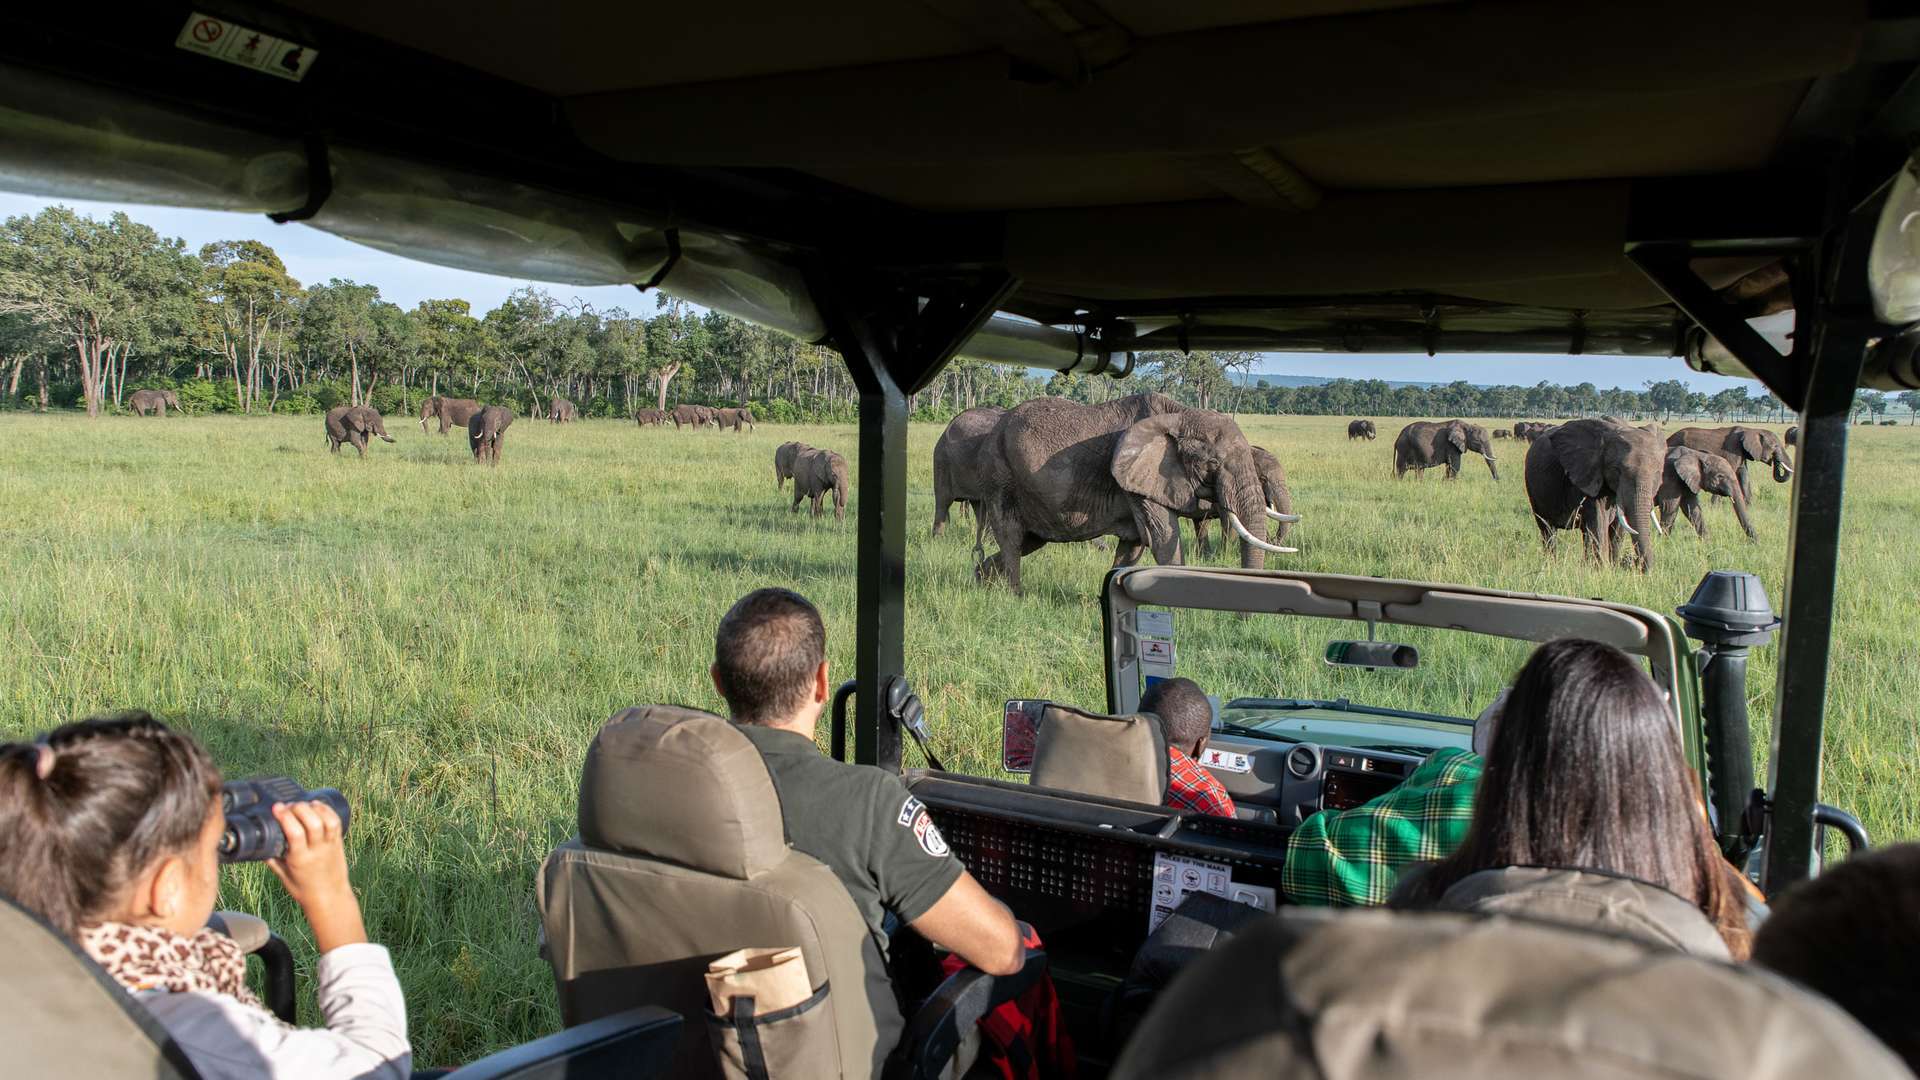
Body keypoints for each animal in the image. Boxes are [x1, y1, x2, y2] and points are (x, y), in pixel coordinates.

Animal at [975, 390, 1290, 591]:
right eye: (1213, 463)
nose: (1244, 617)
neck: (1181, 415)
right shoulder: (1137, 480)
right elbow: (1163, 538)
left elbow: (1135, 545)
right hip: (1000, 475)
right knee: (1012, 537)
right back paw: (1014, 594)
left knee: (1029, 540)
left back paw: (980, 579)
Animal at [1520, 413, 1658, 572]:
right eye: (1617, 470)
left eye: (1657, 473)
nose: (1637, 565)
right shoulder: (1587, 474)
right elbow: (1599, 522)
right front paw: (1601, 571)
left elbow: (1617, 529)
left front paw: (1612, 568)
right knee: (1548, 530)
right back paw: (1551, 566)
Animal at [1666, 424, 1797, 499]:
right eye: (1775, 446)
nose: (1776, 462)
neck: (1751, 430)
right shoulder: (1732, 451)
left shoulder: (1741, 453)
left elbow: (1744, 476)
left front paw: (1749, 506)